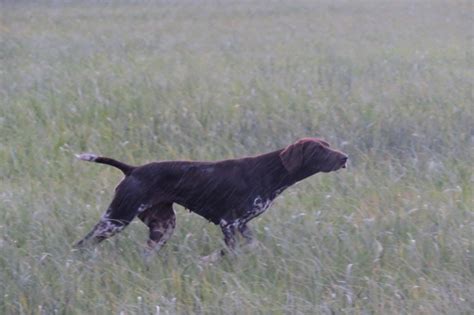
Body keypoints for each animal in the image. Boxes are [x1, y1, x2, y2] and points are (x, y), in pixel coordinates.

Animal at [74, 137, 348, 258]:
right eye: (319, 149)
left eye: (327, 144)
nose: (345, 157)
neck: (269, 172)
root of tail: (132, 169)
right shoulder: (230, 223)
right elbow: (233, 253)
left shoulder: (243, 225)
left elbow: (250, 246)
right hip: (115, 220)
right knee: (81, 244)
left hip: (162, 227)